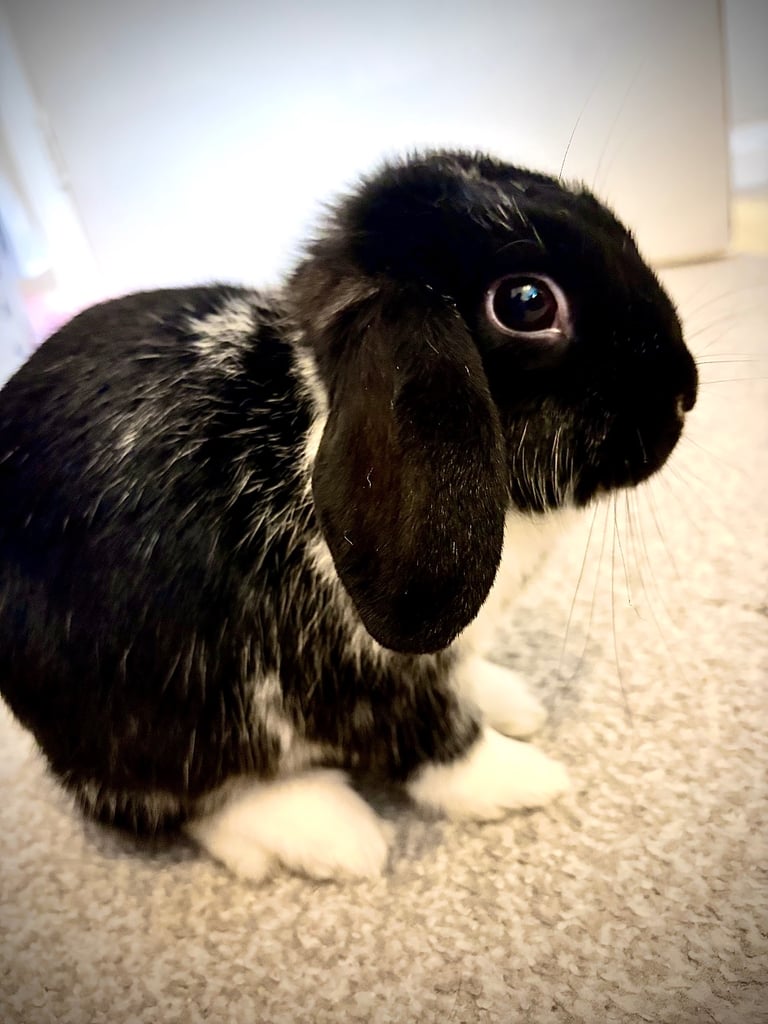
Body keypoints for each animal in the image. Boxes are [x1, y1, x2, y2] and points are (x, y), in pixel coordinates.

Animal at [0, 150, 697, 881]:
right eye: (527, 303)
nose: (687, 391)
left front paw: (511, 701)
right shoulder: (345, 679)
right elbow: (432, 741)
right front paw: (525, 779)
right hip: (154, 720)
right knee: (166, 802)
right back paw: (334, 835)